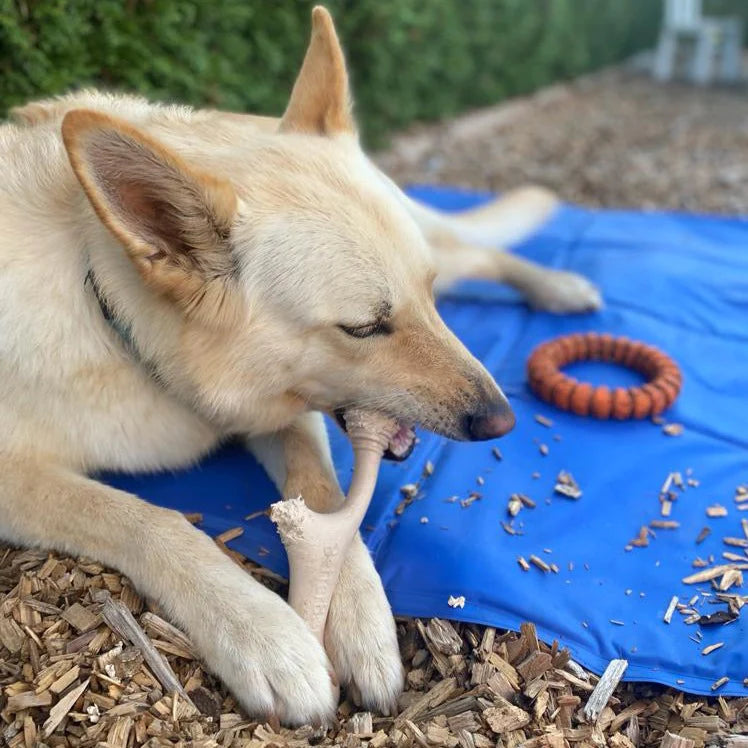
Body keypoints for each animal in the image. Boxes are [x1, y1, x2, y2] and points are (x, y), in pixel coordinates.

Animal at [0, 5, 600, 724]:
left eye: (424, 296)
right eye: (365, 328)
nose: (502, 420)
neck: (117, 322)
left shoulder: (290, 413)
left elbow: (323, 493)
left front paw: (360, 620)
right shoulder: (17, 479)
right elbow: (151, 520)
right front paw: (262, 632)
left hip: (453, 254)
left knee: (482, 252)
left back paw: (557, 286)